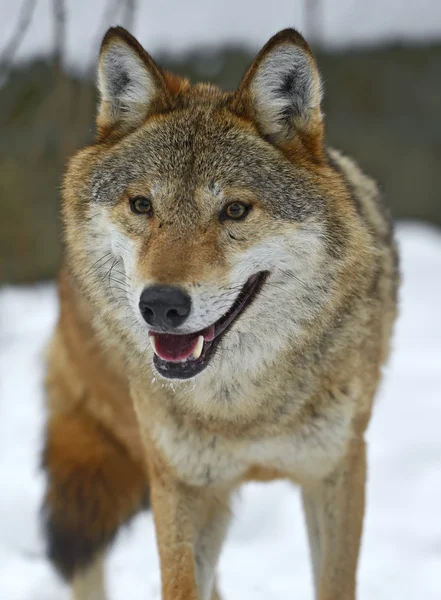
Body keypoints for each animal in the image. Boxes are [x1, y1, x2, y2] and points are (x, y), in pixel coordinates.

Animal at [42, 25, 398, 596]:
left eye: (234, 210)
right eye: (142, 205)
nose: (160, 305)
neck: (241, 412)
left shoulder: (337, 470)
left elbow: (335, 582)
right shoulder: (180, 484)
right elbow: (181, 584)